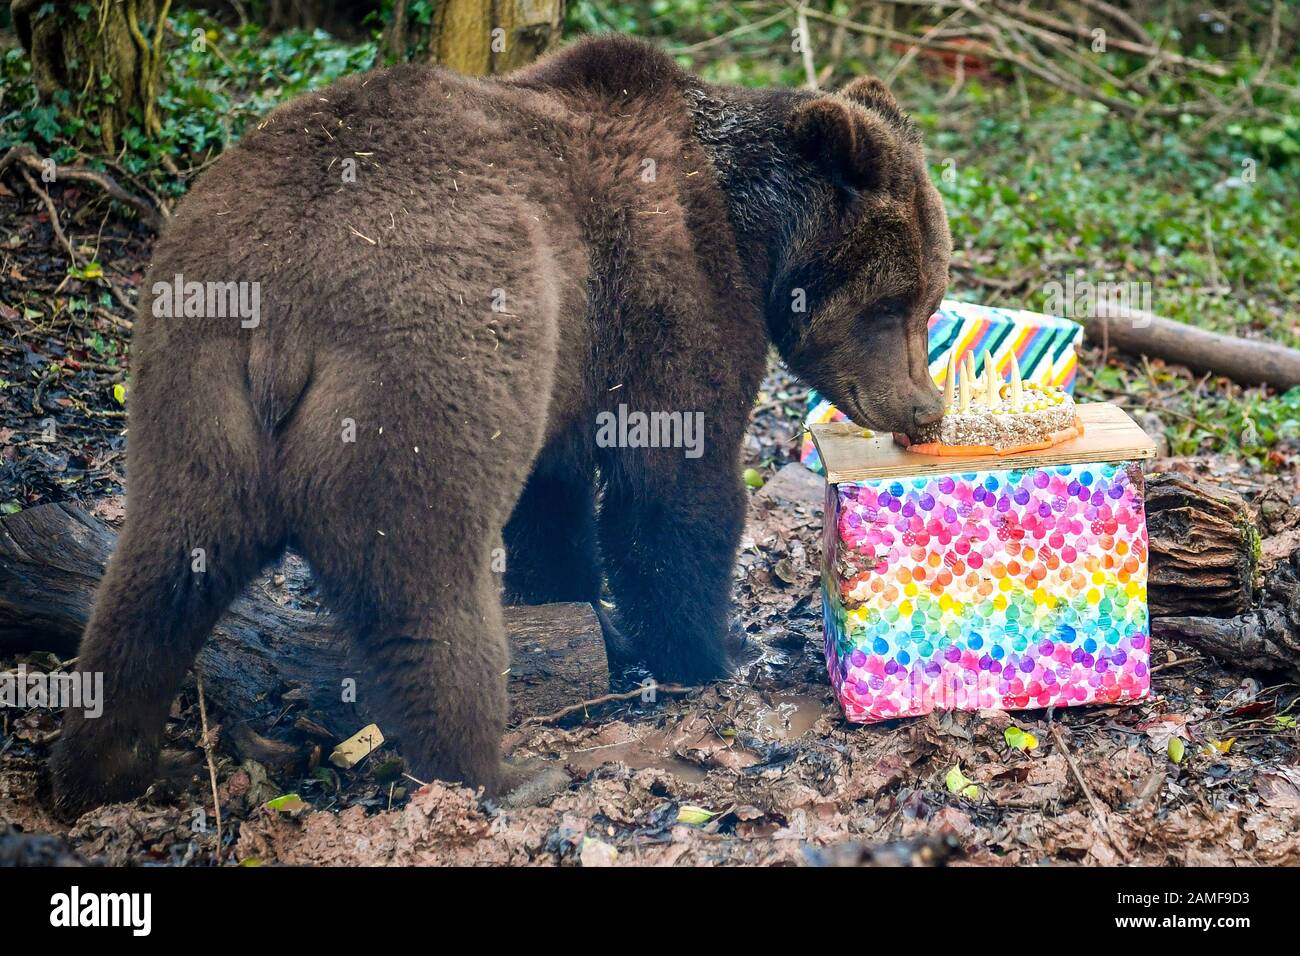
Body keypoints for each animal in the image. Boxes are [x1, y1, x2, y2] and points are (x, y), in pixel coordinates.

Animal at [50, 35, 951, 806]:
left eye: (930, 295)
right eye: (894, 301)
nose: (923, 404)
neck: (747, 222)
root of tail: (284, 296)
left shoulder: (573, 356)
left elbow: (554, 501)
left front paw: (581, 611)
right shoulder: (669, 293)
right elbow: (672, 487)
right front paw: (715, 649)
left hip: (192, 370)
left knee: (163, 562)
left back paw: (107, 764)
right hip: (425, 355)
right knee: (424, 578)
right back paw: (498, 771)